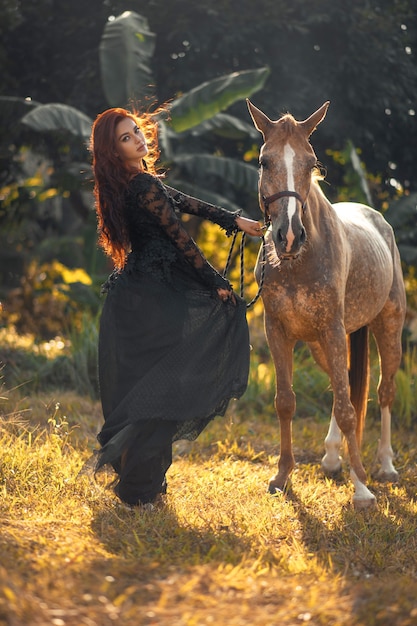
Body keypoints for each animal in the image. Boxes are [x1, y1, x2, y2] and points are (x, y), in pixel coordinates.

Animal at [245, 97, 404, 508]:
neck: (299, 260)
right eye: (264, 161)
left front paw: (361, 488)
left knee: (383, 392)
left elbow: (349, 411)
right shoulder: (278, 330)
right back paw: (333, 458)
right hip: (323, 343)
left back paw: (384, 464)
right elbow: (286, 401)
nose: (288, 236)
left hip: (387, 327)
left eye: (311, 162)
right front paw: (282, 475)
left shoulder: (332, 328)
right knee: (340, 384)